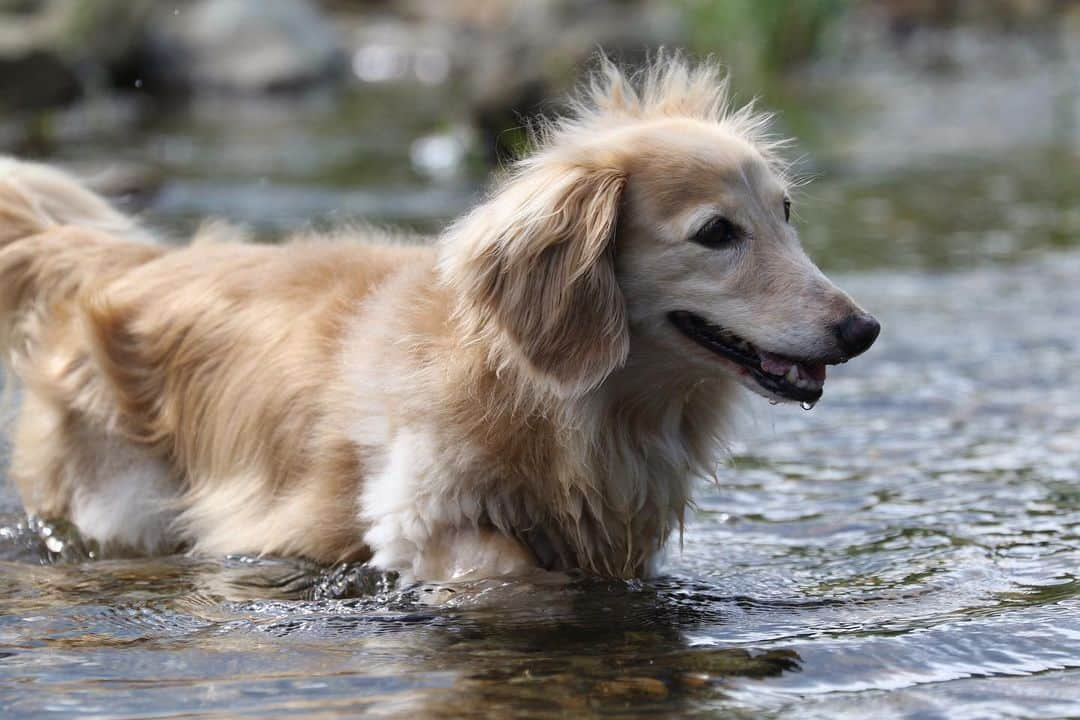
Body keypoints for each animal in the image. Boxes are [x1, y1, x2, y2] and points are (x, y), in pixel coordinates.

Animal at [0, 59, 876, 582]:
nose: (861, 330)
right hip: (124, 503)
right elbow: (509, 569)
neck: (562, 404)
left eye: (785, 213)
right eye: (716, 233)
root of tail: (114, 263)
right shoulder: (419, 515)